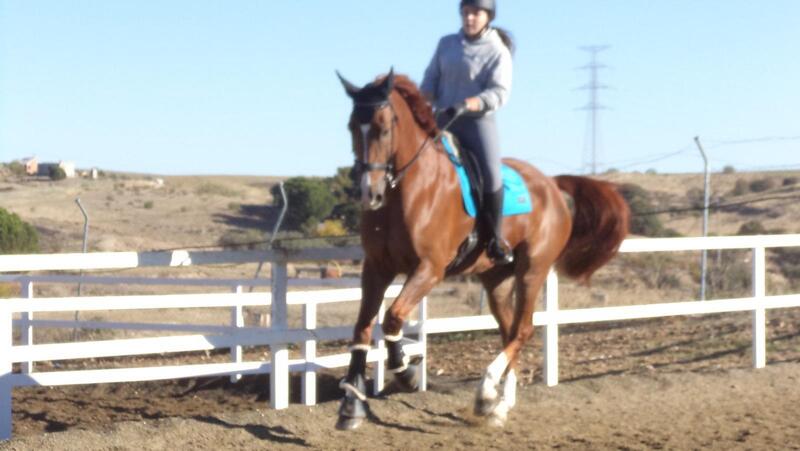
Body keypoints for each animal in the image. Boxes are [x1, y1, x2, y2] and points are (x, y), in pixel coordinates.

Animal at [334, 69, 630, 430]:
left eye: (383, 128)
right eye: (351, 126)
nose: (370, 193)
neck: (407, 191)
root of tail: (551, 184)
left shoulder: (429, 269)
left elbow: (392, 318)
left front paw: (407, 373)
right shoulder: (376, 267)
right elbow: (362, 328)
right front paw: (351, 404)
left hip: (532, 270)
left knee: (523, 329)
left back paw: (486, 391)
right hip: (496, 281)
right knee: (510, 331)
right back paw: (499, 406)